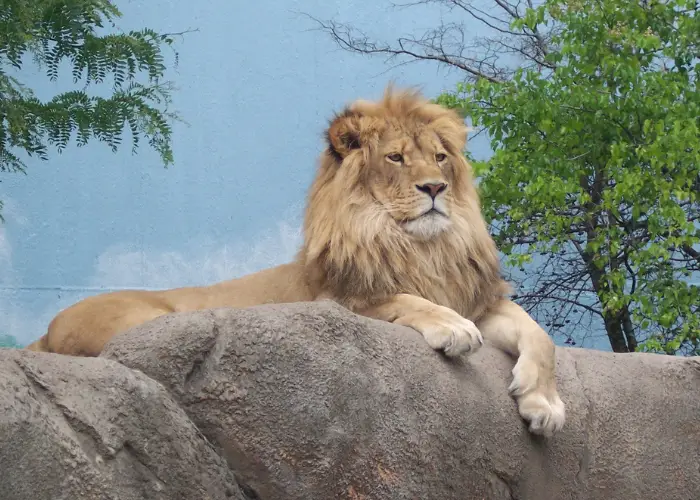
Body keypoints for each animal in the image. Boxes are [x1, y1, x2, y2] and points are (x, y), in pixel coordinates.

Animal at [24, 86, 568, 438]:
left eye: (439, 158)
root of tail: (46, 329)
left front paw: (544, 404)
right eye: (395, 158)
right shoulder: (343, 299)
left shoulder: (477, 297)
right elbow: (406, 300)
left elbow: (540, 335)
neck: (418, 246)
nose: (434, 188)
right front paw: (453, 329)